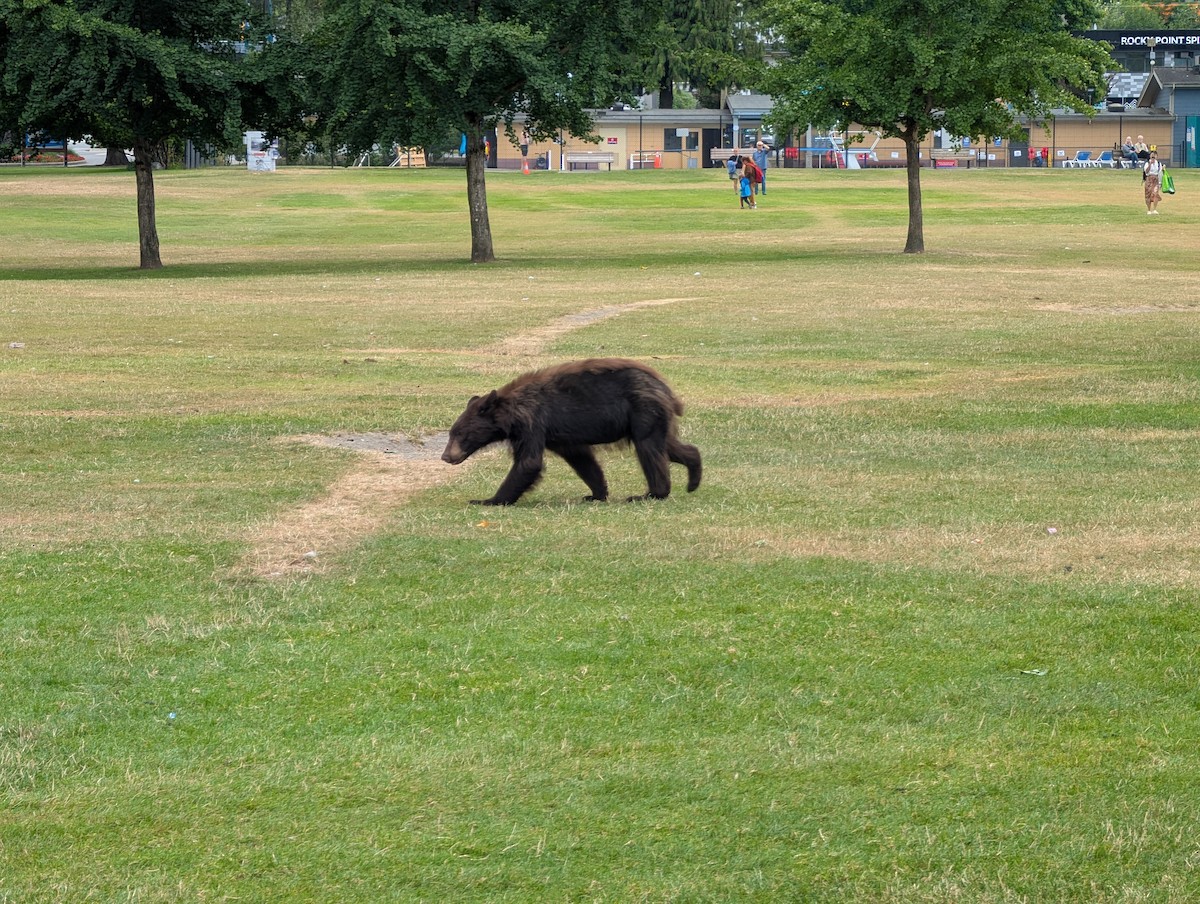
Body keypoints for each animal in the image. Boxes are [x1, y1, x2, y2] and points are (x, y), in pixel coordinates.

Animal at [441, 357, 702, 506]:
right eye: (452, 432)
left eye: (460, 433)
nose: (445, 456)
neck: (512, 412)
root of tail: (666, 389)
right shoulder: (559, 435)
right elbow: (581, 459)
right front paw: (596, 493)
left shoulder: (533, 423)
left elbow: (529, 463)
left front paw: (488, 499)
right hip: (650, 418)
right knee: (667, 445)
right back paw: (693, 476)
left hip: (643, 411)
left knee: (648, 448)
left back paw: (651, 493)